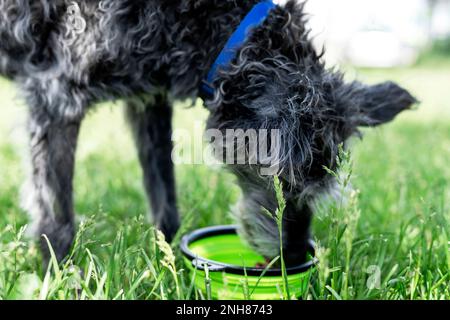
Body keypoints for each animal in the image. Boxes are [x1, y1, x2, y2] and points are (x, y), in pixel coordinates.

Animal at [0, 0, 414, 264]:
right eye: (283, 183)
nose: (295, 254)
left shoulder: (149, 100)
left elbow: (164, 196)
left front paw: (167, 260)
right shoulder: (57, 97)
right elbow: (56, 219)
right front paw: (59, 276)